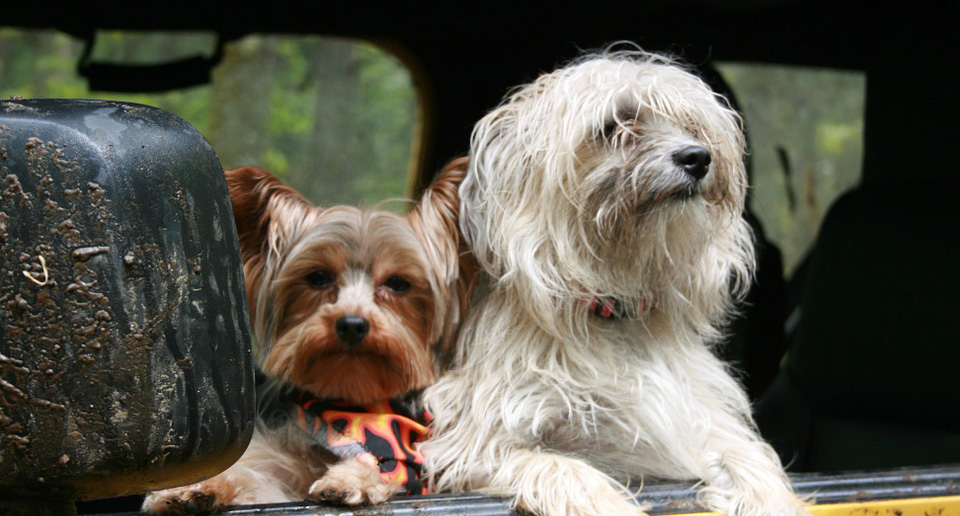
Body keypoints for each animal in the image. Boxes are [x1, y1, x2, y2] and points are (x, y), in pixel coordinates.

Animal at [424, 51, 808, 516]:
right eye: (615, 126)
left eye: (691, 125)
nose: (698, 157)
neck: (615, 308)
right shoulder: (478, 444)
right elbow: (565, 468)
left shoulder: (698, 423)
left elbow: (746, 456)